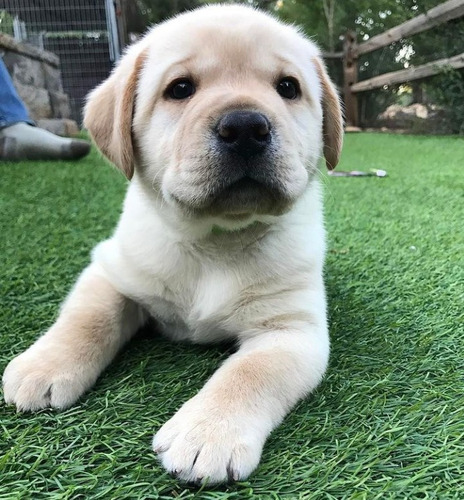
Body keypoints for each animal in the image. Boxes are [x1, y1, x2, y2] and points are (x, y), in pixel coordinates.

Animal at [1, 3, 342, 484]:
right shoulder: (110, 267)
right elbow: (88, 318)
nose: (245, 126)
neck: (216, 241)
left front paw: (208, 433)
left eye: (288, 88)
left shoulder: (291, 330)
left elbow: (250, 372)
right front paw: (44, 365)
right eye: (180, 89)